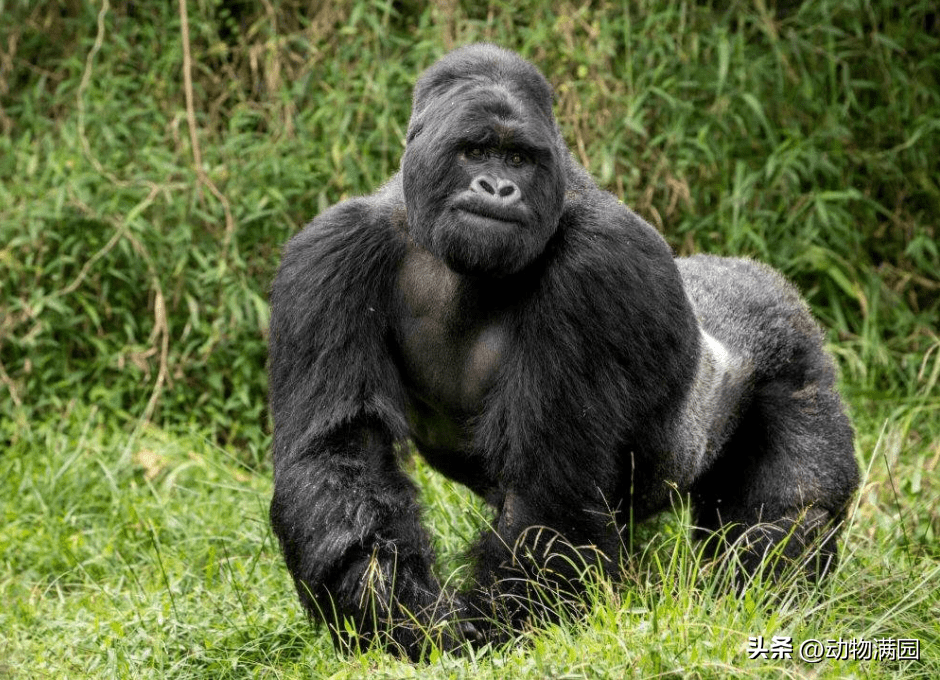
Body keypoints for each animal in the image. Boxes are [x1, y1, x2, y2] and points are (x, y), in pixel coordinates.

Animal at [264, 43, 860, 660]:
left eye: (518, 159)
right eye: (475, 151)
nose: (497, 188)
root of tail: (758, 277)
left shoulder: (601, 265)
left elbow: (549, 489)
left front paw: (491, 632)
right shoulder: (330, 253)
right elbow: (343, 449)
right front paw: (397, 614)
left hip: (791, 349)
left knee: (788, 519)